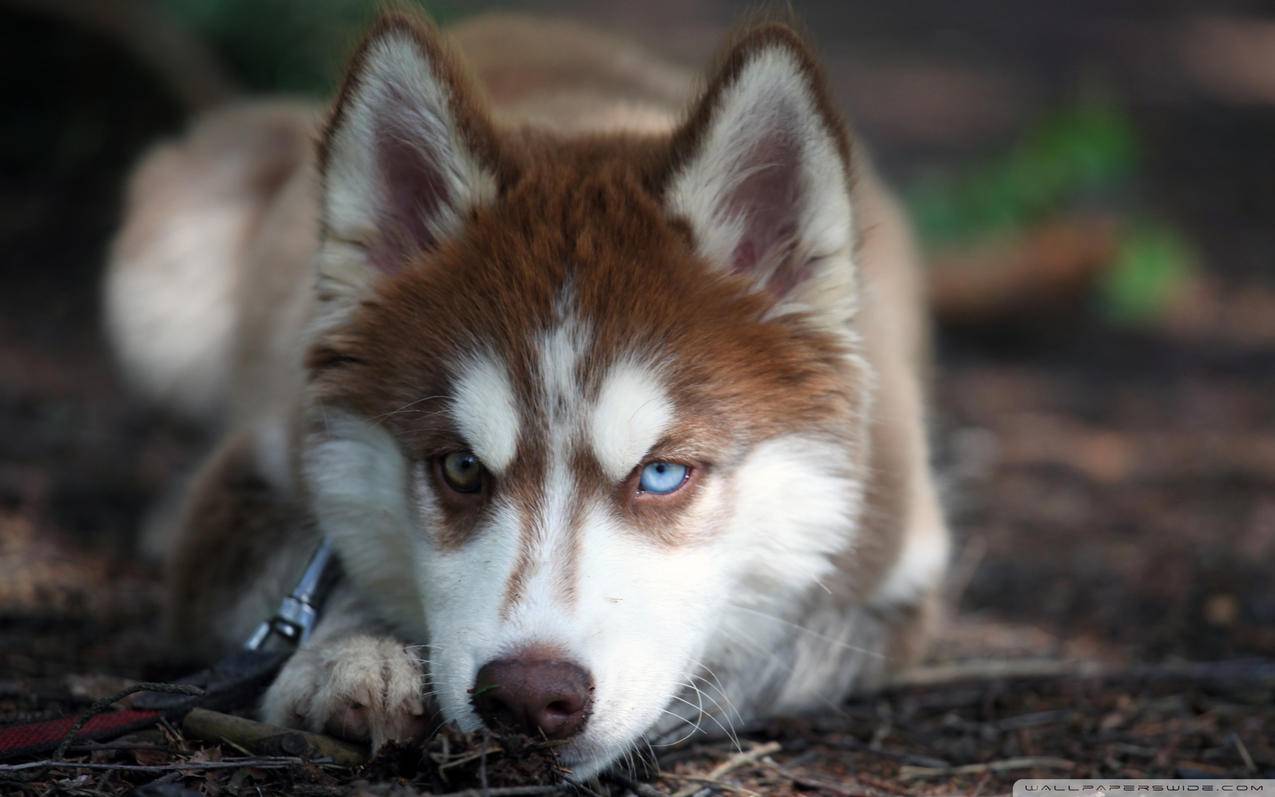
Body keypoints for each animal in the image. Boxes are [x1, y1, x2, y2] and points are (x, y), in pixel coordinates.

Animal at [107, 12, 948, 775]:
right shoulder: (254, 479)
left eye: (662, 473)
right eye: (459, 467)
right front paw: (348, 657)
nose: (528, 696)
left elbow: (790, 644)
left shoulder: (898, 565)